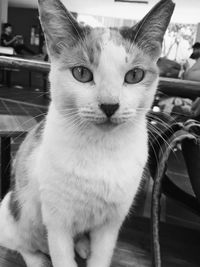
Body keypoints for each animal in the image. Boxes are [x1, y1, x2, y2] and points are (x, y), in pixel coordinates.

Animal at [0, 0, 174, 267]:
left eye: (135, 75)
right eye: (81, 73)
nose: (110, 105)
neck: (101, 149)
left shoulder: (110, 226)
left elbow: (101, 257)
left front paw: (90, 252)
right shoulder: (58, 225)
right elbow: (61, 257)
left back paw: (82, 246)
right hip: (13, 210)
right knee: (22, 243)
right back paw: (39, 259)